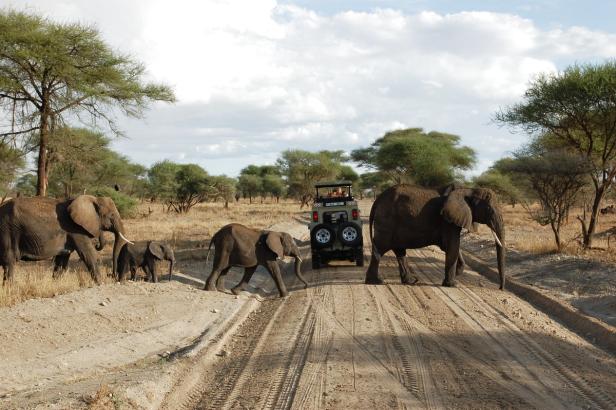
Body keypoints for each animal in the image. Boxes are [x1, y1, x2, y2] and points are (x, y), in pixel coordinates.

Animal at [0, 195, 132, 286]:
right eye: (112, 215)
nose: (112, 276)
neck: (92, 199)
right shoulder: (76, 229)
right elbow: (89, 255)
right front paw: (101, 284)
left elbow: (62, 261)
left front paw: (55, 284)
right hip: (8, 230)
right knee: (9, 262)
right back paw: (9, 288)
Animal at [366, 184, 506, 290]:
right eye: (489, 209)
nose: (500, 288)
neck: (468, 189)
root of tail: (378, 199)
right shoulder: (448, 221)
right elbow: (453, 246)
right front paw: (452, 284)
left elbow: (452, 246)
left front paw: (457, 272)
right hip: (387, 221)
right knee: (380, 247)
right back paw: (375, 281)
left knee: (399, 251)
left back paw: (411, 281)